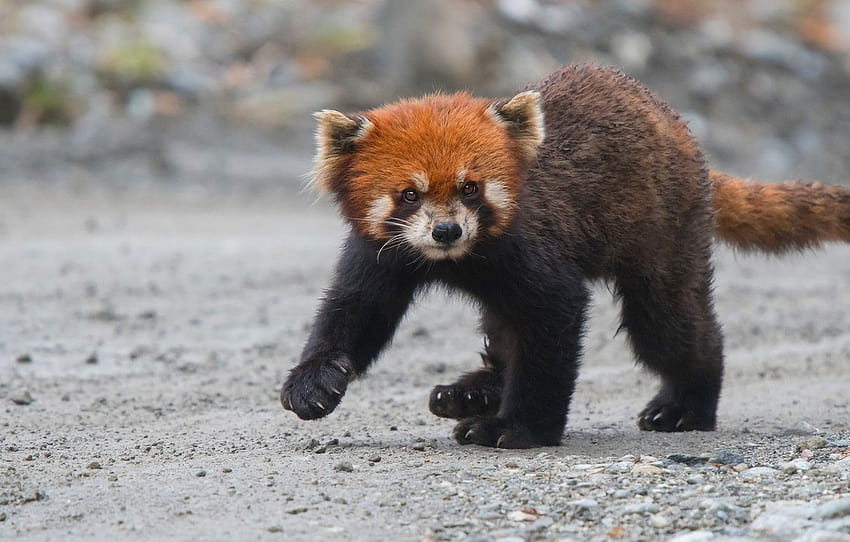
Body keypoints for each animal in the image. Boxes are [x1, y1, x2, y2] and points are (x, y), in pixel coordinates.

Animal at [282, 63, 848, 448]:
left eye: (470, 188)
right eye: (409, 194)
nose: (446, 230)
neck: (454, 261)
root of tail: (680, 128)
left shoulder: (532, 248)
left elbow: (552, 326)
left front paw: (518, 428)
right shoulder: (380, 251)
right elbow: (354, 312)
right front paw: (314, 383)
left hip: (666, 229)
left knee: (669, 327)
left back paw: (685, 407)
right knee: (501, 325)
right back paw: (471, 391)